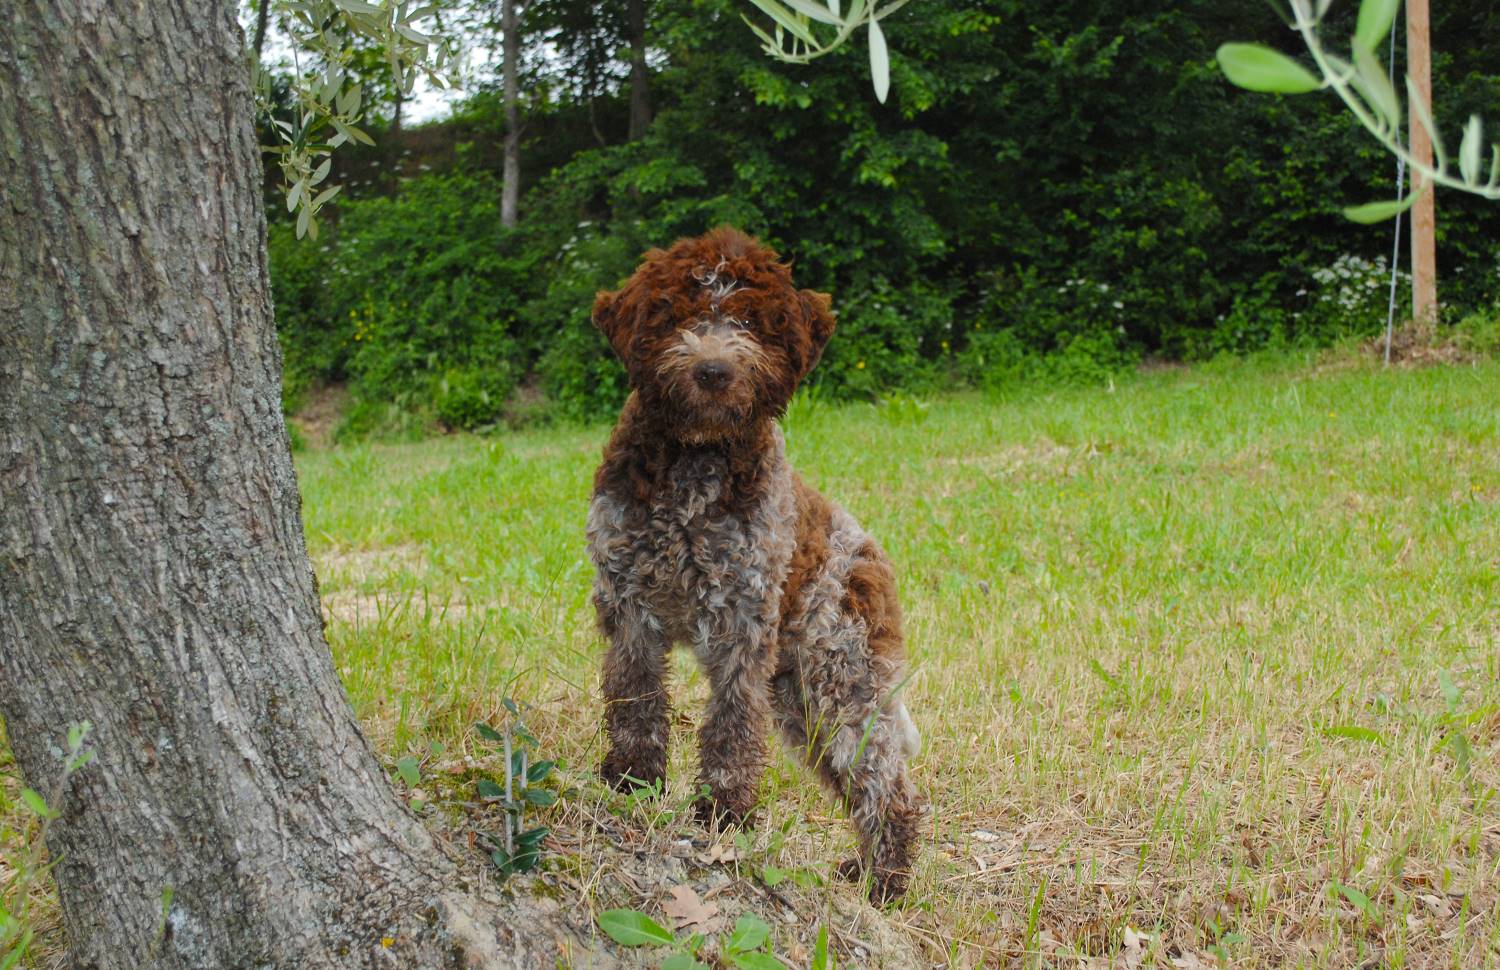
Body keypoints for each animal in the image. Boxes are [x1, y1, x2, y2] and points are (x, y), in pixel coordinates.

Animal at [585, 223, 924, 899]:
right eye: (678, 316)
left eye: (747, 320)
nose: (713, 371)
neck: (695, 461)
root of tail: (871, 551)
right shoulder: (631, 605)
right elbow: (635, 700)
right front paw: (632, 782)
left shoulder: (742, 620)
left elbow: (732, 723)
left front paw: (724, 813)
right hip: (799, 697)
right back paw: (867, 873)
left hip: (842, 678)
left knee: (888, 782)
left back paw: (884, 883)